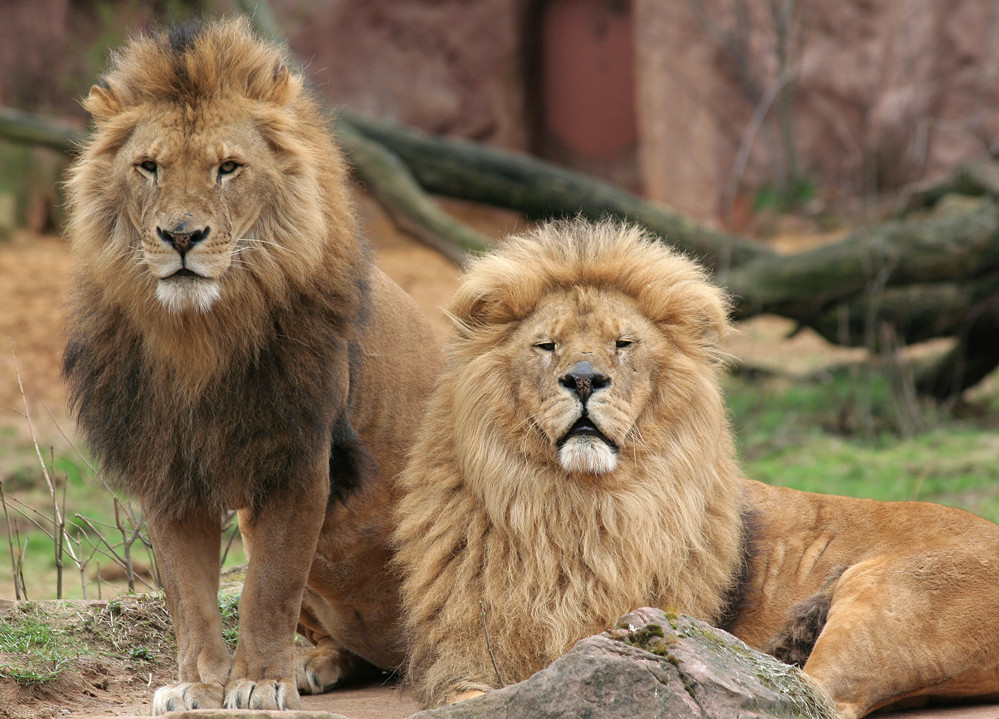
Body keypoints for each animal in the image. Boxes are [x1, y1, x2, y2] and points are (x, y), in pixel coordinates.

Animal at [60, 16, 440, 716]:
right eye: (148, 167)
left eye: (228, 168)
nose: (182, 237)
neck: (198, 337)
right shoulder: (168, 465)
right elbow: (188, 594)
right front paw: (199, 682)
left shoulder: (298, 455)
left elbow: (270, 581)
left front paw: (260, 681)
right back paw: (316, 664)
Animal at [394, 221, 999, 719]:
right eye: (546, 345)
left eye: (623, 344)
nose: (585, 378)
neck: (574, 507)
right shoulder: (466, 654)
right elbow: (468, 698)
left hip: (881, 596)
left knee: (812, 700)